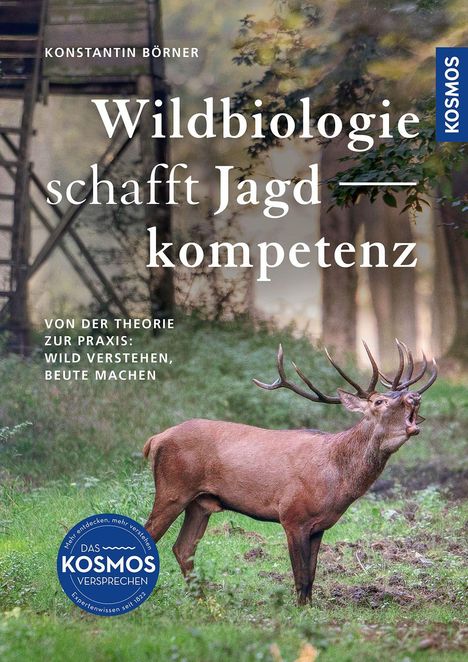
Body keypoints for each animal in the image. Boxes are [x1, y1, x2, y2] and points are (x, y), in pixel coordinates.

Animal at [143, 340, 437, 605]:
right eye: (378, 401)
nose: (415, 396)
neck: (338, 480)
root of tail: (155, 439)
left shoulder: (320, 526)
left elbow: (312, 574)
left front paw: (309, 608)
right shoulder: (292, 516)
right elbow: (301, 575)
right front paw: (299, 611)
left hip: (200, 503)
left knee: (183, 548)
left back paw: (205, 601)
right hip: (172, 490)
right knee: (156, 535)